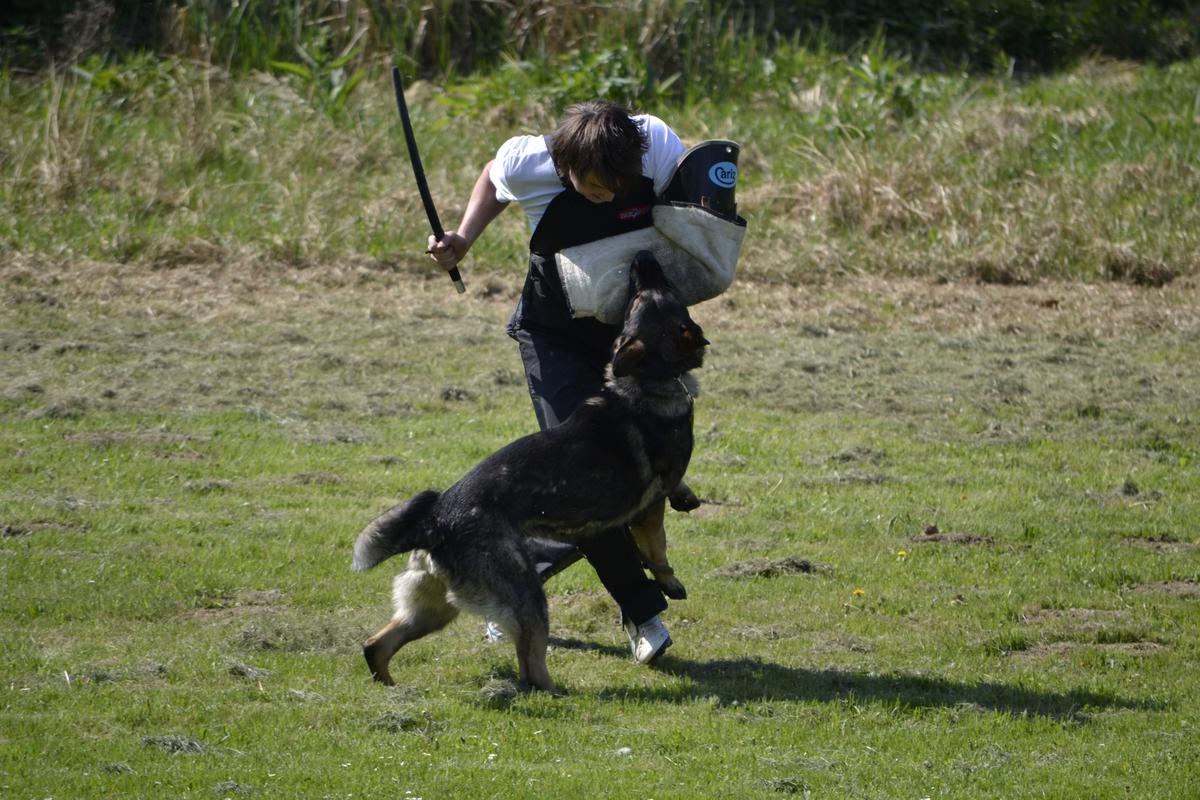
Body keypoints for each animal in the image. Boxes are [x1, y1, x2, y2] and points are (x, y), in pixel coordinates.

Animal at [350, 251, 700, 695]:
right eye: (648, 293)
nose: (642, 257)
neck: (647, 379)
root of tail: (433, 522)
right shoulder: (649, 506)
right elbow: (658, 549)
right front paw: (670, 582)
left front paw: (688, 497)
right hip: (525, 597)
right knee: (529, 668)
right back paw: (560, 694)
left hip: (432, 609)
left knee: (376, 644)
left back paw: (393, 688)